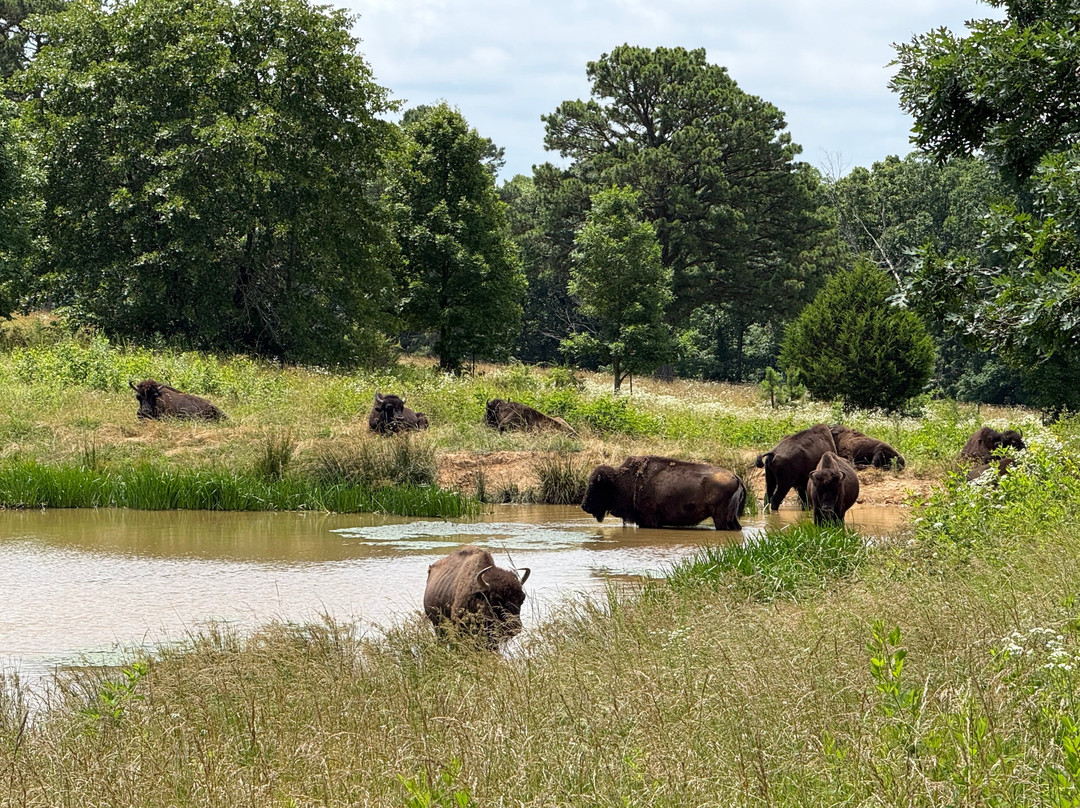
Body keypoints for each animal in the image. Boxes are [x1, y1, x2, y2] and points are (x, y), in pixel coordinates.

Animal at [581, 455, 746, 530]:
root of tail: (736, 477)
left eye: (594, 486)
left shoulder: (649, 520)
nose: (583, 506)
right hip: (731, 518)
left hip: (720, 517)